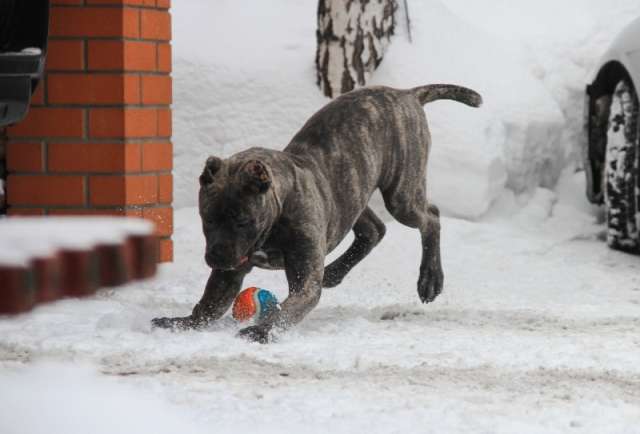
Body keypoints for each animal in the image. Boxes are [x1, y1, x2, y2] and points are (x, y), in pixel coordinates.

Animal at [152, 84, 482, 342]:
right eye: (207, 219)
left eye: (243, 221)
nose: (216, 258)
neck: (278, 213)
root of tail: (406, 94)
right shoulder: (230, 274)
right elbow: (210, 303)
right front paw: (182, 322)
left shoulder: (303, 279)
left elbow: (288, 308)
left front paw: (262, 331)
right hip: (351, 194)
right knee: (374, 229)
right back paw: (334, 271)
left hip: (401, 195)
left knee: (431, 218)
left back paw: (430, 279)